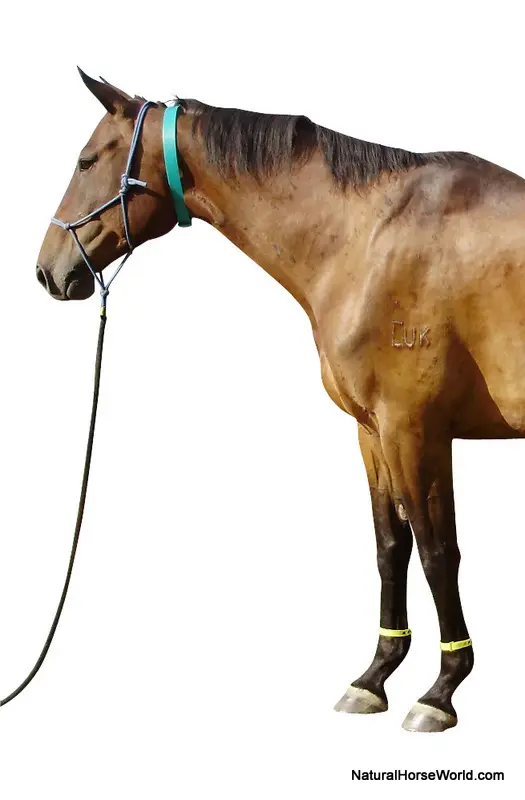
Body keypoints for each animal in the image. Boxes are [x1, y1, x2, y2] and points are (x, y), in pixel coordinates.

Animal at [36, 69, 525, 733]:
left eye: (86, 160)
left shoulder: (415, 429)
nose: (48, 270)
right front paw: (374, 677)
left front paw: (441, 690)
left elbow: (436, 552)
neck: (370, 235)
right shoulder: (372, 432)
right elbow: (390, 547)